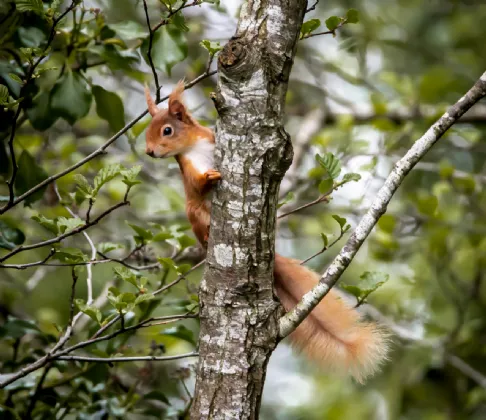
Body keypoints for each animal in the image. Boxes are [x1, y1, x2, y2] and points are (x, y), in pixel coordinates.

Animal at [143, 82, 388, 384]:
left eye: (167, 130)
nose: (149, 151)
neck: (194, 146)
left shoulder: (210, 139)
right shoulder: (187, 169)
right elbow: (197, 185)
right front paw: (208, 177)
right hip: (193, 213)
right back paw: (208, 234)